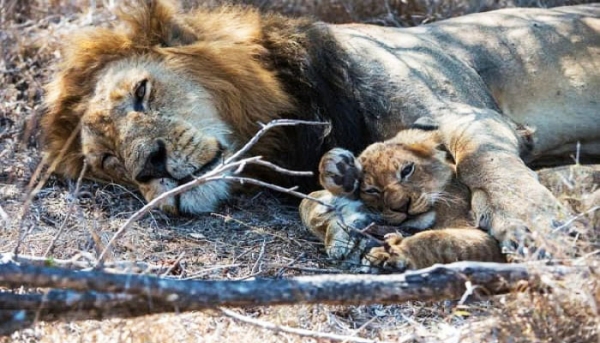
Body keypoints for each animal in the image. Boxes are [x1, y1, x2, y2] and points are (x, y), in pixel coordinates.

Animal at [44, 0, 600, 264]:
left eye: (142, 92)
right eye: (108, 162)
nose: (149, 165)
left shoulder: (463, 111)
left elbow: (487, 159)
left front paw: (535, 224)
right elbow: (315, 201)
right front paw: (345, 229)